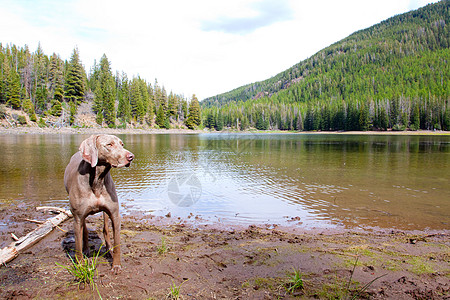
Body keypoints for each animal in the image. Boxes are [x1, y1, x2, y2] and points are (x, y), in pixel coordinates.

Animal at [64, 135, 134, 274]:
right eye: (109, 144)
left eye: (122, 144)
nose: (131, 157)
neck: (98, 180)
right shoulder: (77, 217)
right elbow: (78, 246)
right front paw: (80, 266)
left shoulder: (115, 214)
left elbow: (117, 243)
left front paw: (116, 265)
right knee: (85, 231)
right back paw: (86, 250)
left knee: (105, 229)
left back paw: (108, 249)